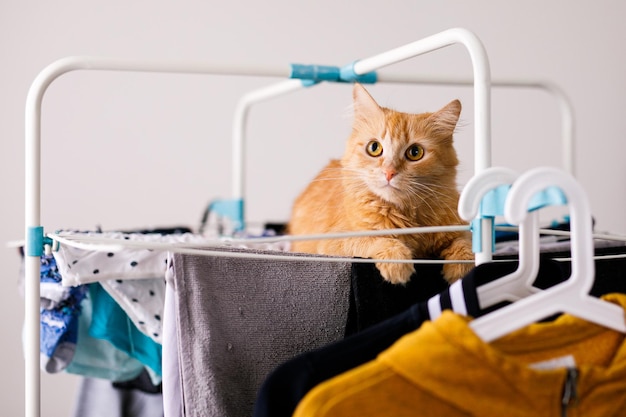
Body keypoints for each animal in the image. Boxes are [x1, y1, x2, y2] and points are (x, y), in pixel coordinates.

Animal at [288, 83, 472, 284]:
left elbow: (465, 243)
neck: (406, 215)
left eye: (415, 152)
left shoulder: (461, 229)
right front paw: (398, 262)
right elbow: (375, 239)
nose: (389, 172)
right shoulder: (333, 242)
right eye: (374, 148)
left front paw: (462, 267)